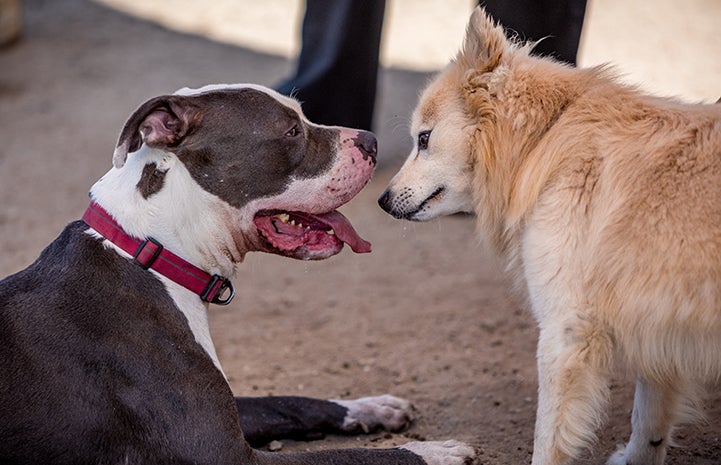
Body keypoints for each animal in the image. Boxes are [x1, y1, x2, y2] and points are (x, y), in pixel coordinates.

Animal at [380, 6, 716, 464]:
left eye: (424, 139)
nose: (382, 200)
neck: (542, 138)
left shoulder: (565, 332)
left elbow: (548, 438)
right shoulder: (658, 332)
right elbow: (648, 421)